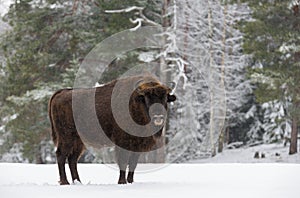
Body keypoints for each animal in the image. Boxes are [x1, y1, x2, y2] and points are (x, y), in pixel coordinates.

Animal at [48, 75, 177, 185]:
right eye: (147, 98)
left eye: (165, 98)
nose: (158, 117)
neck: (135, 103)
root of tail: (61, 93)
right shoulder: (123, 143)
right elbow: (123, 162)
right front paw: (122, 182)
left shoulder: (137, 146)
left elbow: (133, 164)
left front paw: (130, 181)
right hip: (67, 137)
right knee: (61, 155)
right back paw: (65, 182)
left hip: (78, 141)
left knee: (72, 159)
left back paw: (78, 182)